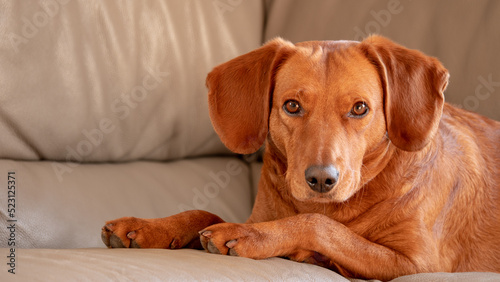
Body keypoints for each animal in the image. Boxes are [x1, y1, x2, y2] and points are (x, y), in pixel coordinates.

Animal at [101, 35, 500, 280]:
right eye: (292, 106)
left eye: (360, 108)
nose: (322, 179)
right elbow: (203, 212)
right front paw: (150, 227)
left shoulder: (415, 263)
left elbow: (317, 225)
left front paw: (253, 236)